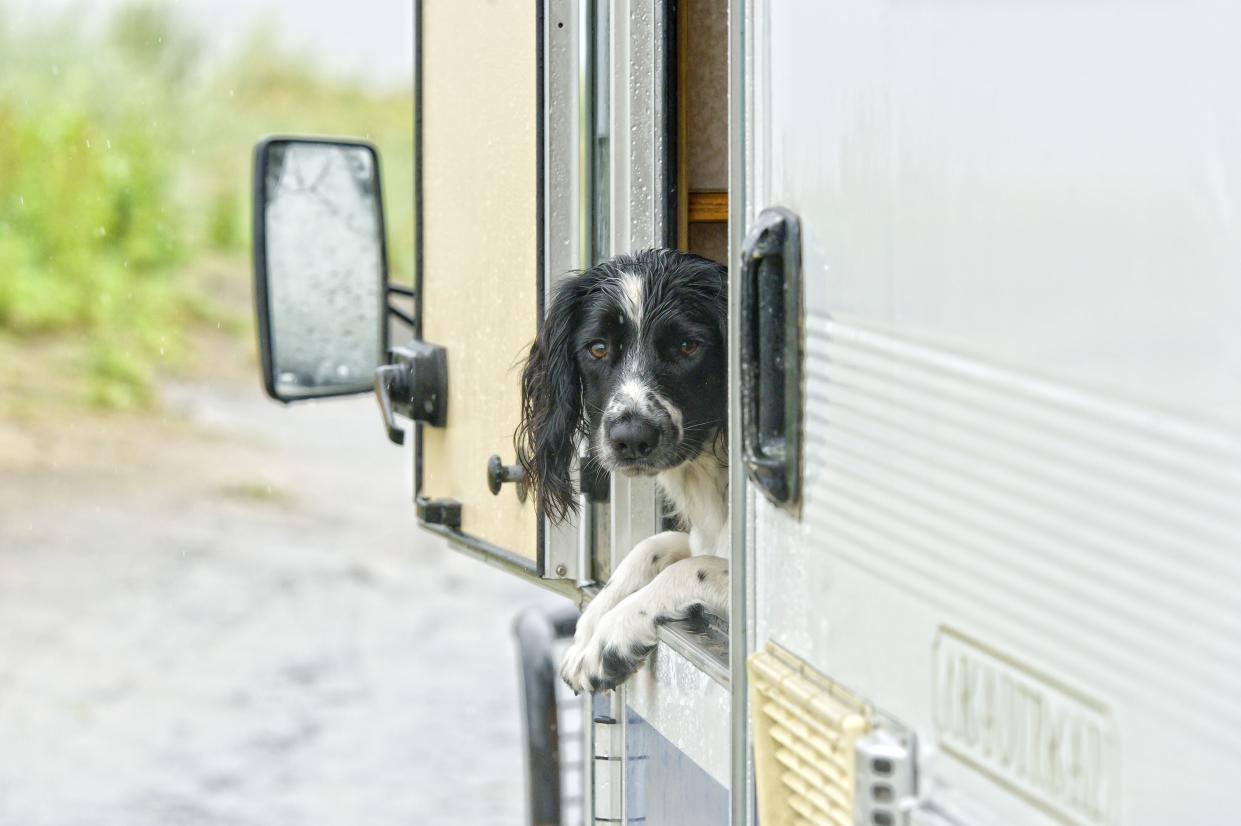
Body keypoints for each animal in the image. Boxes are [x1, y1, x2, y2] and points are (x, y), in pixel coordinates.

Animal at [518, 248, 729, 689]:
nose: (631, 438)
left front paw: (611, 636)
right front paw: (589, 630)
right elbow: (651, 547)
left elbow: (691, 568)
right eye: (598, 349)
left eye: (688, 346)